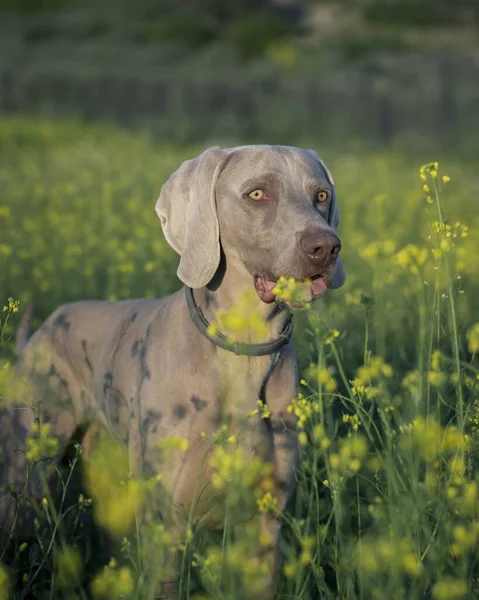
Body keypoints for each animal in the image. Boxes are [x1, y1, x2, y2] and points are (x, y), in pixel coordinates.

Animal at [0, 144, 344, 596]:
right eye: (257, 194)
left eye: (321, 195)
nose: (326, 247)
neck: (242, 352)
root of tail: (41, 330)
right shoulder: (166, 523)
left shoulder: (265, 524)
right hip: (28, 472)